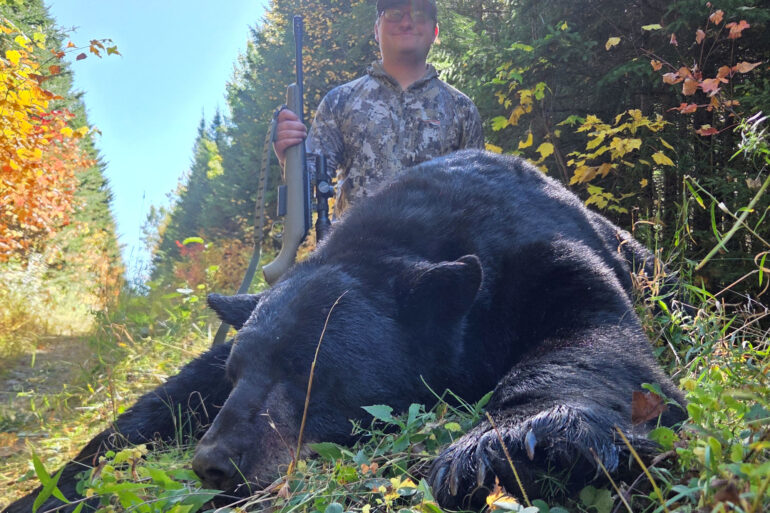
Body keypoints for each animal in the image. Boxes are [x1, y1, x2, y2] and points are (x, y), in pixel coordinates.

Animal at [4, 150, 686, 512]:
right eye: (239, 374)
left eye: (310, 370)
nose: (212, 464)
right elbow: (168, 397)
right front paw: (52, 488)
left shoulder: (546, 260)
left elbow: (592, 336)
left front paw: (516, 446)